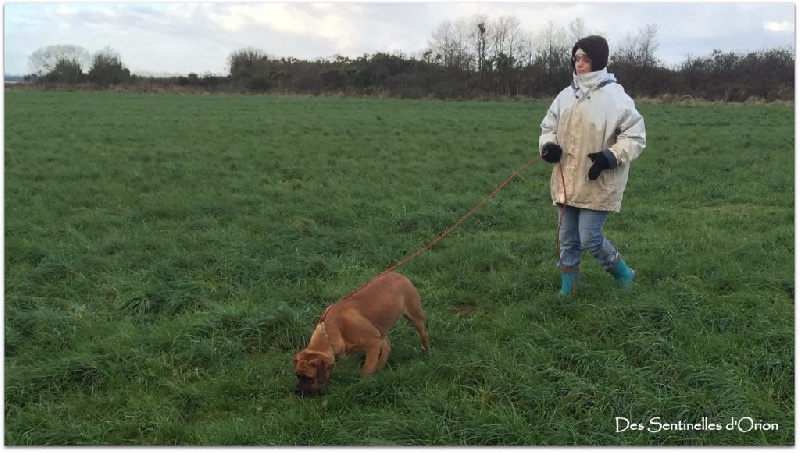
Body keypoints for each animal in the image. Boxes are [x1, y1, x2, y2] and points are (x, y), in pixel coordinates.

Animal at [294, 272, 432, 396]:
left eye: (309, 378)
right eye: (298, 376)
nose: (298, 392)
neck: (331, 334)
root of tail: (400, 275)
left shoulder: (373, 345)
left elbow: (366, 370)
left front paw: (363, 384)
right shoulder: (375, 342)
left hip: (415, 316)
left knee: (423, 335)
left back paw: (426, 352)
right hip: (378, 330)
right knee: (387, 347)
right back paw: (379, 366)